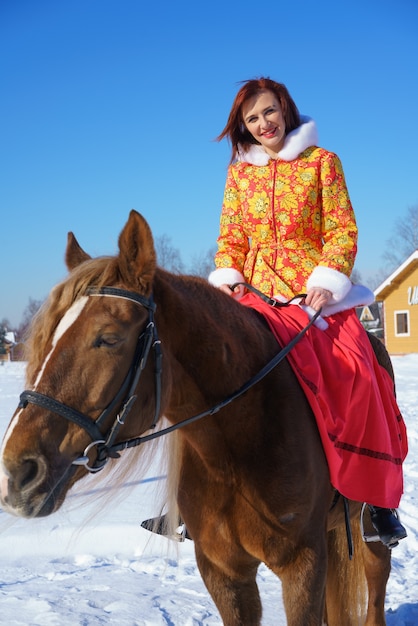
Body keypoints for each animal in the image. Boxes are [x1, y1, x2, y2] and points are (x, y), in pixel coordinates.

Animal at [0, 211, 392, 624]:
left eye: (108, 338)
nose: (17, 472)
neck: (235, 449)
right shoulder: (223, 571)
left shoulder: (303, 564)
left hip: (368, 527)